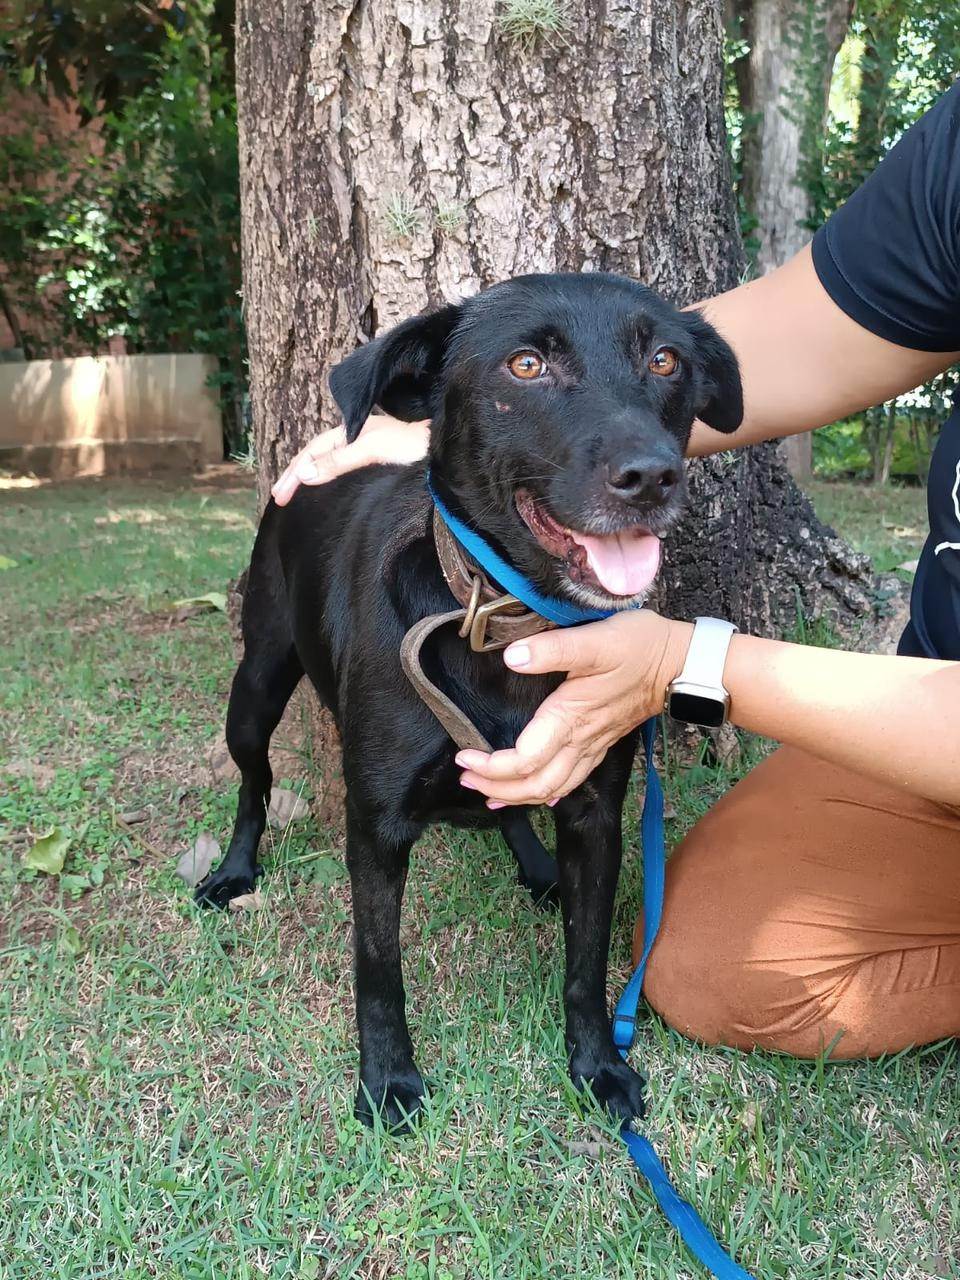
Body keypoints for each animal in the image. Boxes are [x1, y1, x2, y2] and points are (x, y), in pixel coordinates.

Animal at [199, 272, 742, 1131]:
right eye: (525, 365)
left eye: (664, 360)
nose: (652, 477)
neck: (500, 619)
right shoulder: (375, 825)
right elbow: (378, 966)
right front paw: (387, 1079)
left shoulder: (596, 811)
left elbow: (587, 961)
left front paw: (598, 1067)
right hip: (255, 686)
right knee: (253, 784)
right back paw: (234, 870)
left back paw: (535, 866)